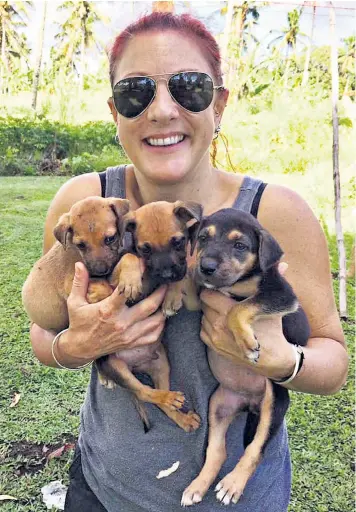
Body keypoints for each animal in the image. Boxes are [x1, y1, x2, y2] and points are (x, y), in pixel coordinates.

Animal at [94, 200, 204, 432]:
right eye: (145, 249)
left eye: (179, 242)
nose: (166, 274)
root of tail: (137, 364)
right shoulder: (112, 280)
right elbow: (129, 256)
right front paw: (131, 281)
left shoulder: (184, 279)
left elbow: (184, 273)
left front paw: (171, 297)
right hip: (117, 367)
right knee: (144, 392)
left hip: (162, 364)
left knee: (161, 403)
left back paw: (182, 416)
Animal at [181, 209, 308, 508]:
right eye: (203, 238)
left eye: (240, 245)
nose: (207, 267)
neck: (235, 283)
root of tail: (250, 403)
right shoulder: (202, 297)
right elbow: (193, 289)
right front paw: (185, 276)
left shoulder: (280, 294)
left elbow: (240, 307)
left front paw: (247, 343)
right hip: (218, 405)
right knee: (218, 452)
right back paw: (197, 487)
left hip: (274, 403)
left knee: (254, 449)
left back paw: (232, 485)